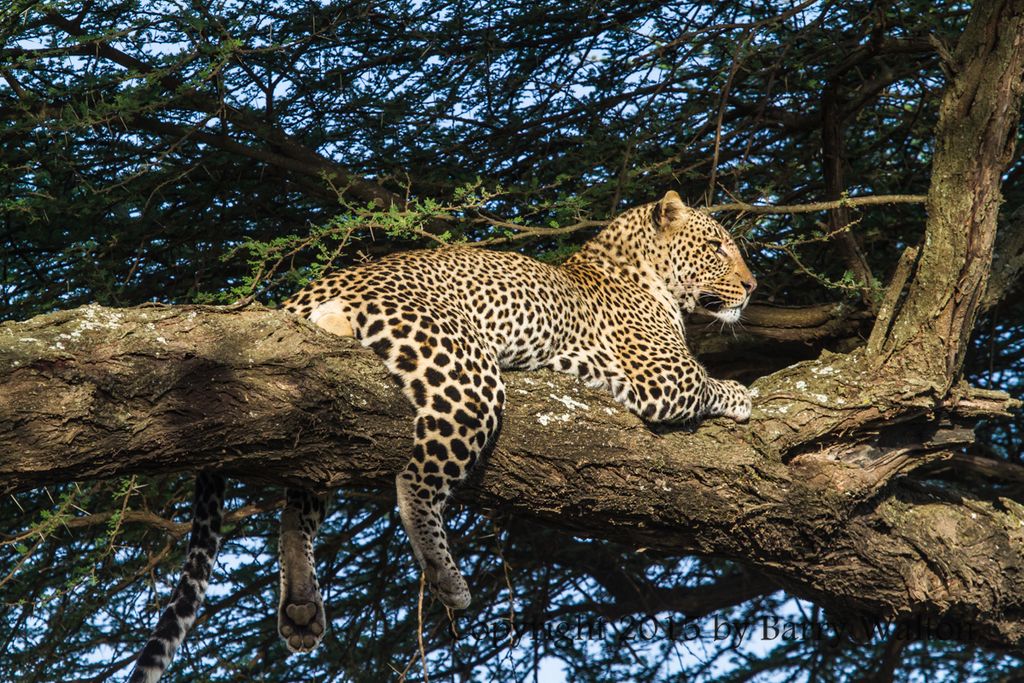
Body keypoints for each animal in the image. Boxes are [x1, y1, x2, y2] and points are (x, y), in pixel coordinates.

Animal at [128, 190, 756, 682]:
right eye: (717, 246)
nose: (751, 288)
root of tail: (316, 286)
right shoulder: (662, 378)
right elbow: (706, 382)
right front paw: (742, 395)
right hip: (466, 372)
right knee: (413, 485)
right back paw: (447, 578)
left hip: (319, 413)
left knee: (299, 503)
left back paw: (302, 605)